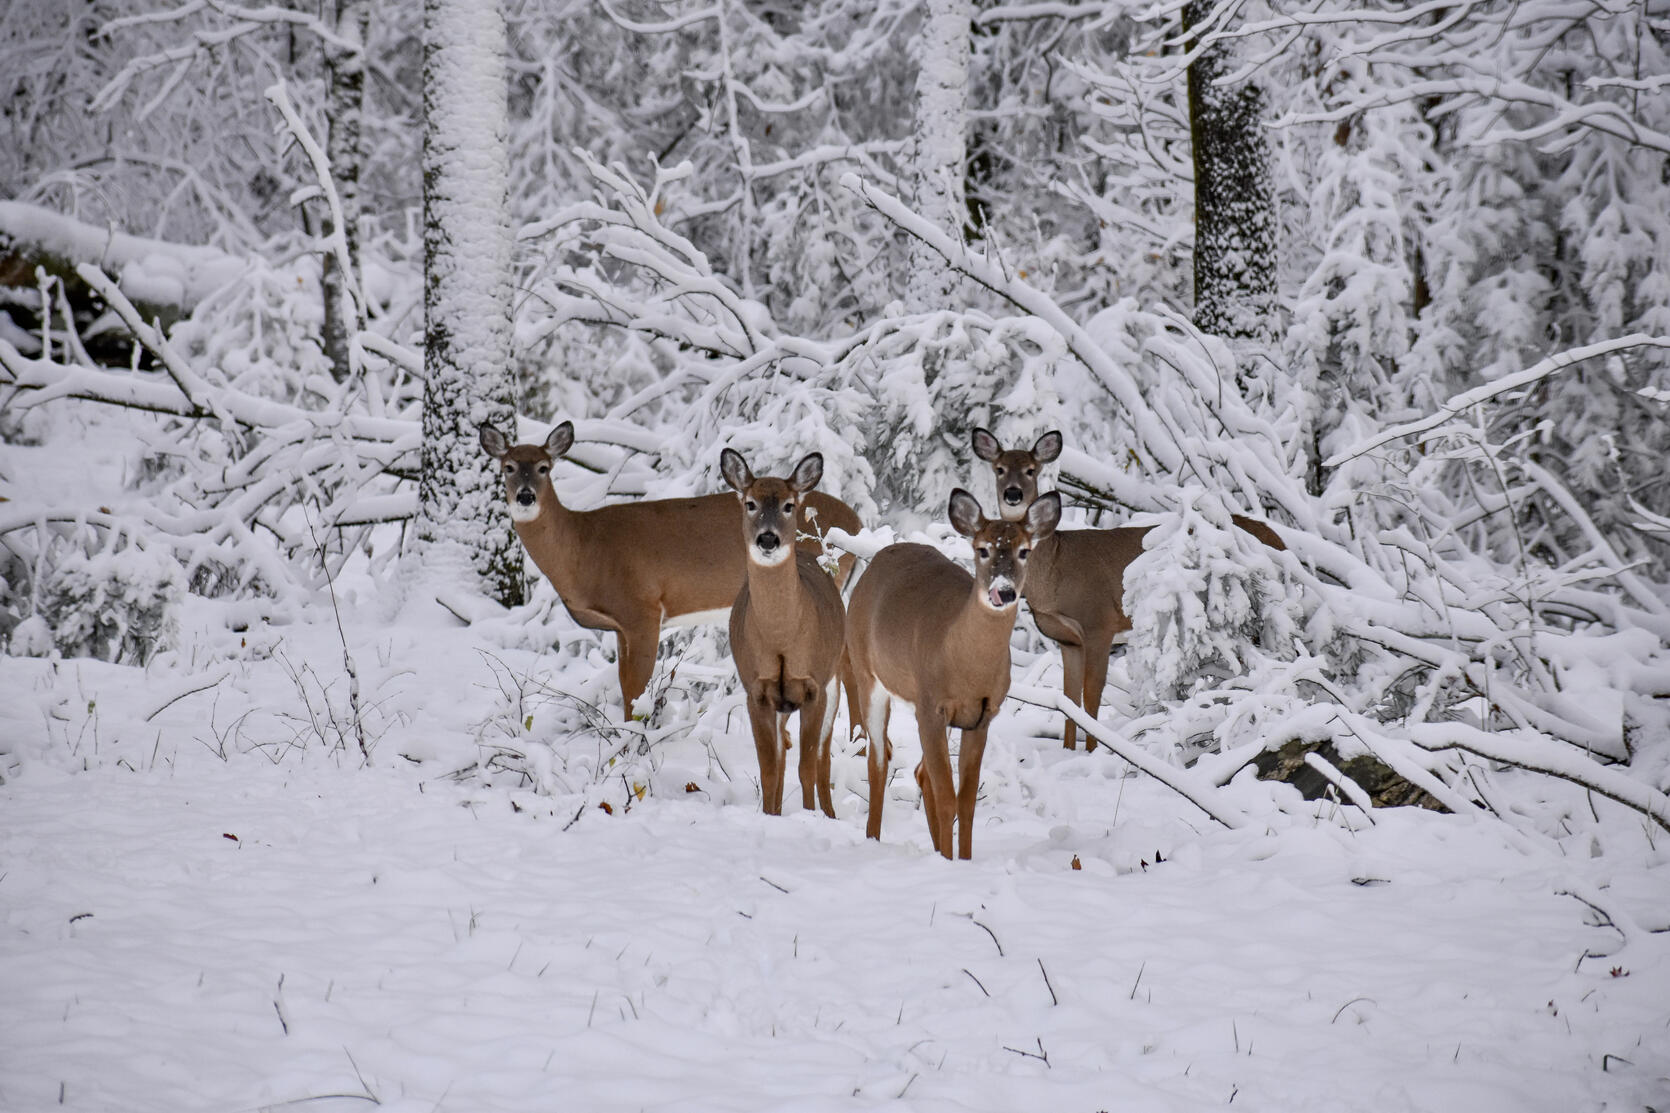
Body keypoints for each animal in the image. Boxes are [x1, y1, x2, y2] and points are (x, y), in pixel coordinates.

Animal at [474, 421, 855, 725]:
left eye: (543, 467)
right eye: (508, 467)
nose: (525, 496)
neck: (583, 549)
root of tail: (856, 520)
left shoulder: (642, 609)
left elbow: (635, 693)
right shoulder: (620, 627)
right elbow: (625, 686)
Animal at [718, 447, 848, 818]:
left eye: (789, 505)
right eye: (750, 503)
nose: (767, 538)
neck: (781, 639)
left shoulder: (814, 686)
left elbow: (807, 766)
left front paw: (809, 816)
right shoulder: (756, 691)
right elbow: (770, 769)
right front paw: (770, 816)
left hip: (835, 681)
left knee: (822, 759)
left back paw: (830, 814)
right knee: (782, 758)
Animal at [841, 484, 1062, 855]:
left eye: (1025, 551)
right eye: (982, 549)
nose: (1004, 591)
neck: (966, 666)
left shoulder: (982, 716)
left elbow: (966, 801)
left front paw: (962, 859)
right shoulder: (930, 706)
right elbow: (948, 798)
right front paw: (949, 860)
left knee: (919, 771)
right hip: (867, 674)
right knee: (879, 758)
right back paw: (873, 838)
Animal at [968, 427, 1289, 748]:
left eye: (1031, 470)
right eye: (999, 469)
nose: (1013, 494)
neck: (1054, 571)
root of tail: (1280, 540)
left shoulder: (1099, 623)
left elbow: (1091, 694)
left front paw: (1093, 749)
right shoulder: (1068, 639)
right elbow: (1068, 698)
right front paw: (1068, 749)